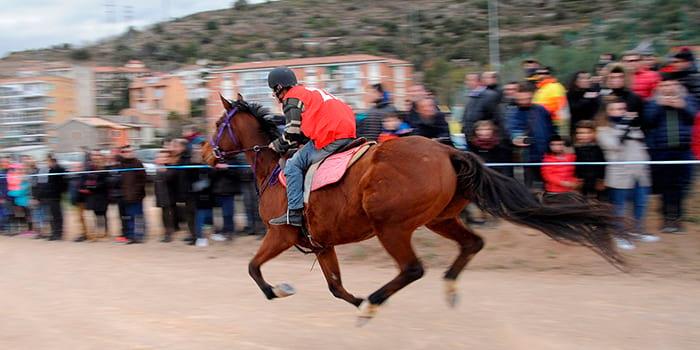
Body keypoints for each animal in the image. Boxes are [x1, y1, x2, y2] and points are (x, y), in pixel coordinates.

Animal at [202, 94, 624, 324]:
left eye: (219, 123)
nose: (206, 152)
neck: (275, 169)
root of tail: (448, 150)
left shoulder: (281, 232)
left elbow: (254, 268)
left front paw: (280, 290)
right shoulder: (322, 244)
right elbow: (336, 287)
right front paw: (354, 300)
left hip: (392, 227)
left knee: (413, 268)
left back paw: (375, 304)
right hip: (440, 218)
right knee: (471, 244)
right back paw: (442, 288)